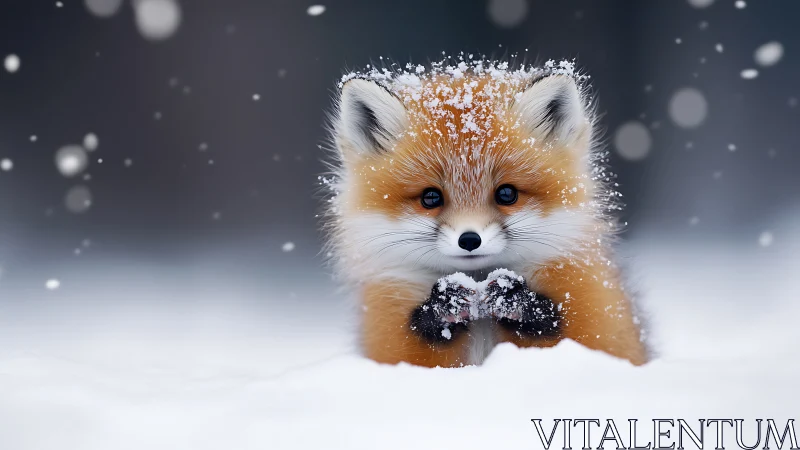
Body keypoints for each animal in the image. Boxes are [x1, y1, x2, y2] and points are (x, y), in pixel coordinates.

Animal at [322, 57, 648, 368]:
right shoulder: (389, 322)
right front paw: (443, 304)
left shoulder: (598, 315)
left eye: (506, 194)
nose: (469, 240)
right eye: (430, 197)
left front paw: (516, 300)